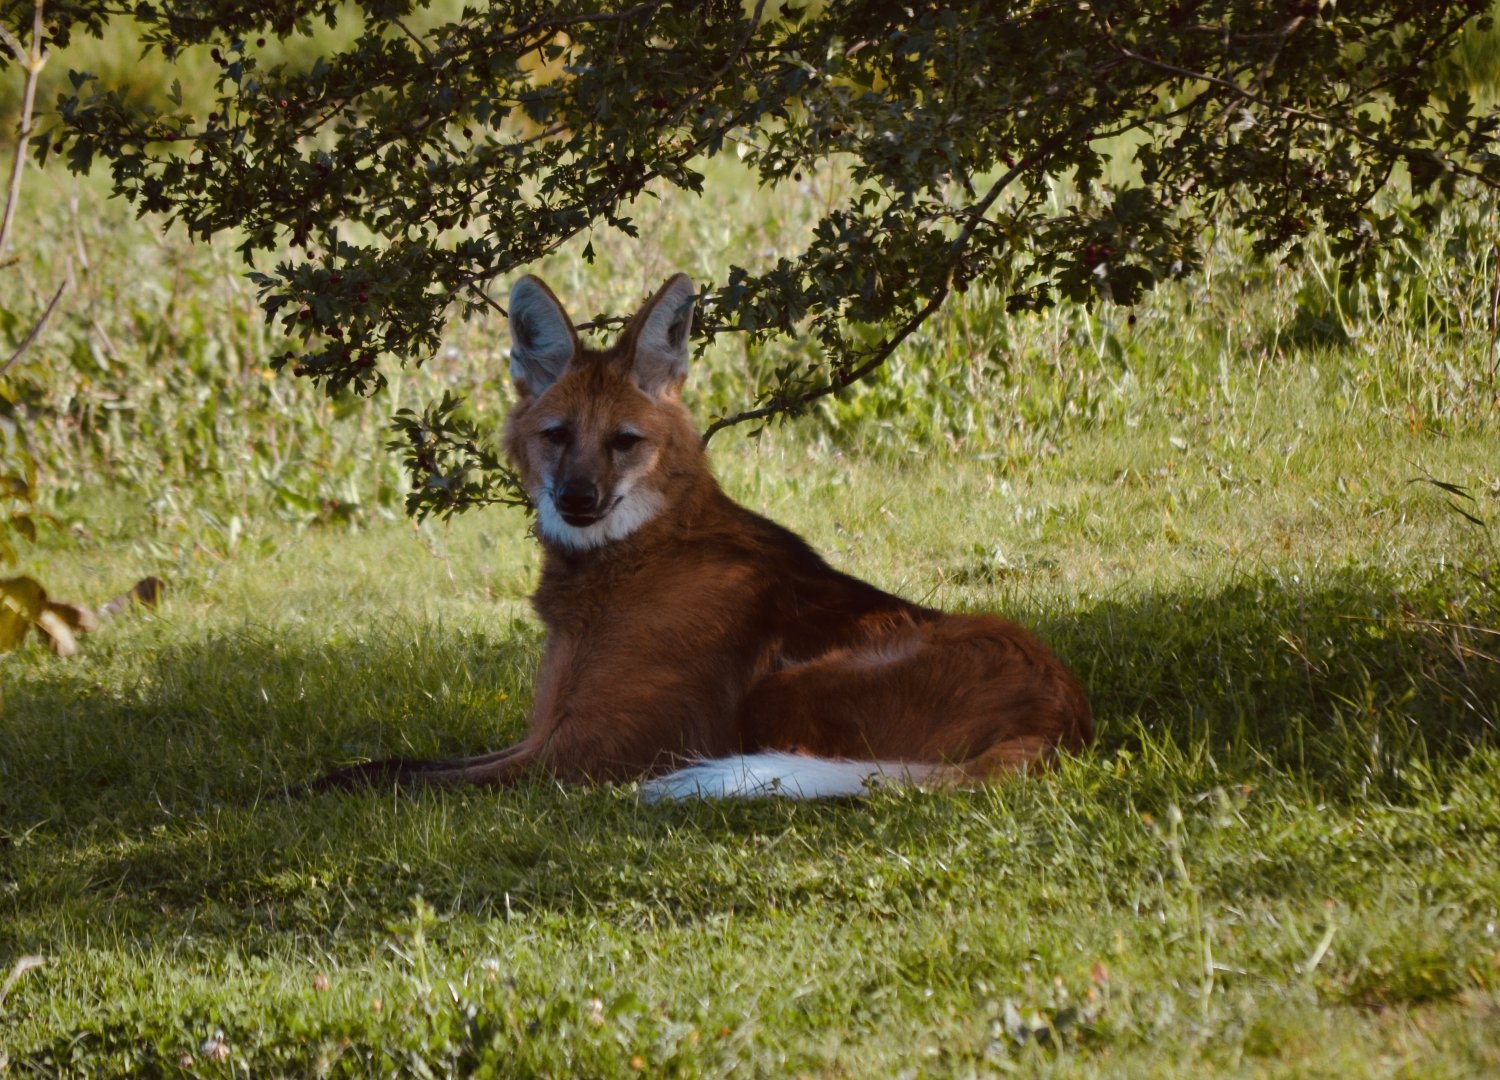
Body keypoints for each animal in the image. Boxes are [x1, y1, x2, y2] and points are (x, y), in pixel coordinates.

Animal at [313, 273, 1091, 798]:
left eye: (624, 442)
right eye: (557, 436)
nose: (578, 499)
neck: (624, 564)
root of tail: (1061, 718)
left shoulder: (582, 754)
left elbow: (396, 777)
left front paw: (291, 796)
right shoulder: (541, 733)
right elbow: (397, 762)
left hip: (786, 686)